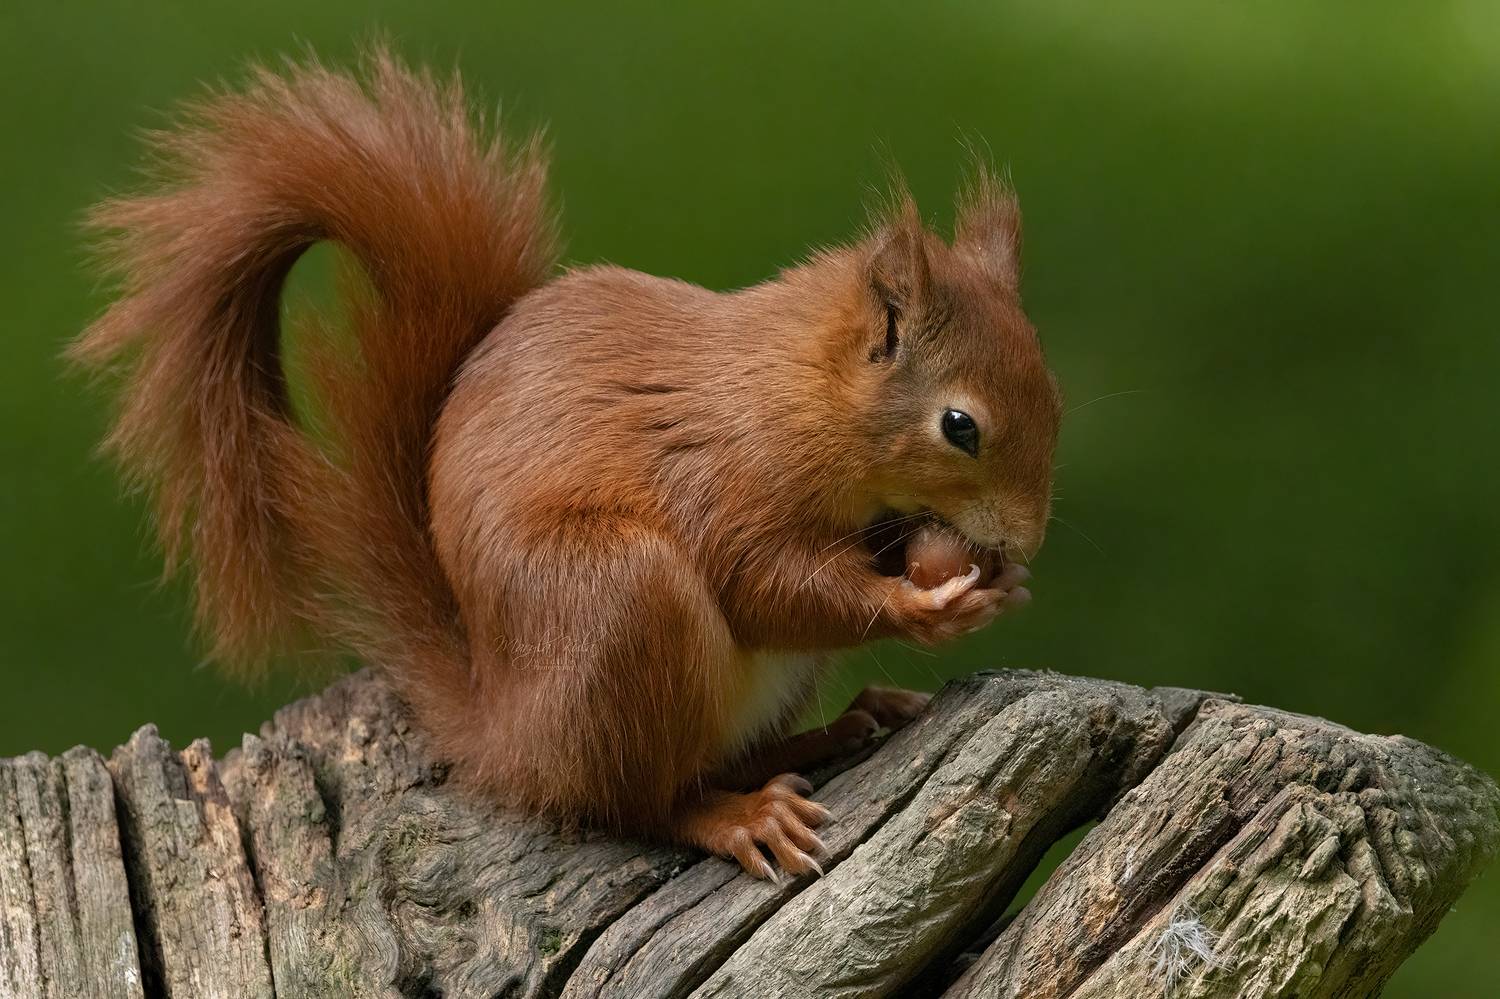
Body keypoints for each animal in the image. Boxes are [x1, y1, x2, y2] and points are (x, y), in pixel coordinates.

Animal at [73, 49, 1060, 879]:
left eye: (1052, 392)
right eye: (960, 425)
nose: (1026, 540)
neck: (801, 394)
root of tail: (511, 736)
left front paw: (994, 584)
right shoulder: (722, 476)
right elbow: (761, 583)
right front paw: (928, 605)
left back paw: (841, 725)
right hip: (617, 601)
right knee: (640, 800)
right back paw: (740, 814)